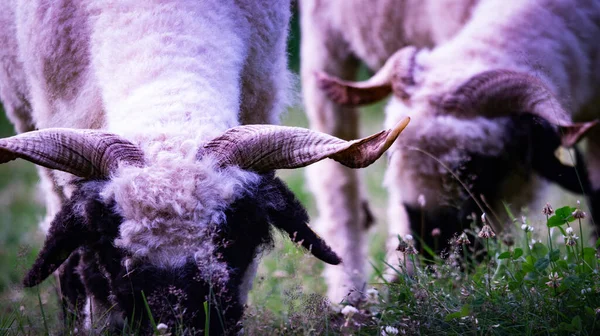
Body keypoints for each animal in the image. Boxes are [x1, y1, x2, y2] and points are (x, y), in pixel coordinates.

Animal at [300, 0, 600, 304]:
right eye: (391, 158)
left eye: (481, 166)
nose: (434, 255)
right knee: (338, 186)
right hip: (323, 43)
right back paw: (351, 293)